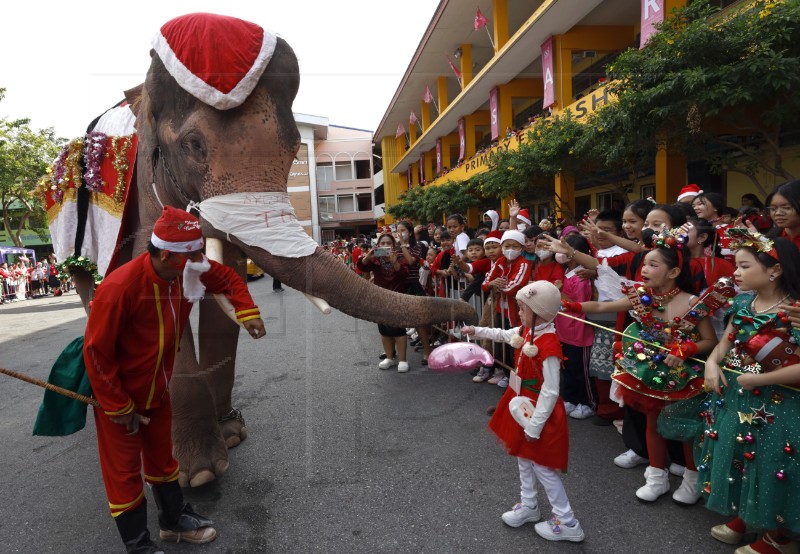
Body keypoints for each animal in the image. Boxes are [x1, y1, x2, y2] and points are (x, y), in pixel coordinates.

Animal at [62, 12, 478, 486]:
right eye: (193, 145)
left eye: (294, 147)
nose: (468, 316)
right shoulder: (145, 200)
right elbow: (160, 299)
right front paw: (197, 475)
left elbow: (224, 286)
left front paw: (230, 436)